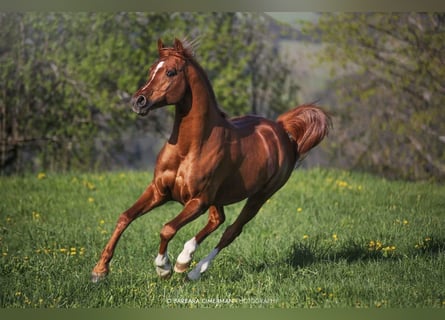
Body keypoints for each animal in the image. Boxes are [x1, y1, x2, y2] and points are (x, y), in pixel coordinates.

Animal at [91, 38, 330, 282]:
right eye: (151, 70)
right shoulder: (159, 191)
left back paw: (191, 269)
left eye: (170, 72)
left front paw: (164, 267)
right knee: (218, 220)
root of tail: (281, 129)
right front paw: (100, 271)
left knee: (231, 231)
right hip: (220, 197)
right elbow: (125, 217)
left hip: (260, 196)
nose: (138, 101)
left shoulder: (198, 200)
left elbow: (167, 228)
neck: (189, 148)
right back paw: (185, 260)